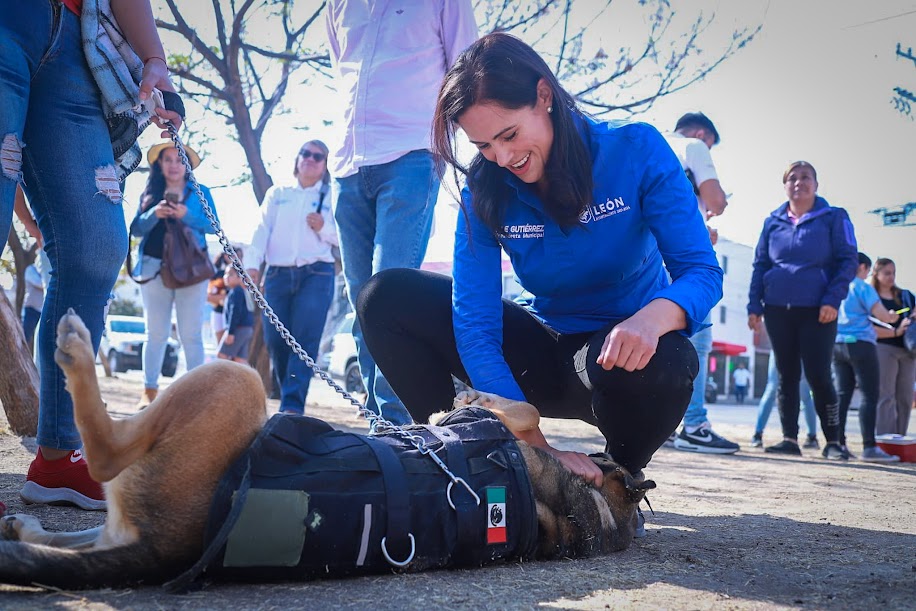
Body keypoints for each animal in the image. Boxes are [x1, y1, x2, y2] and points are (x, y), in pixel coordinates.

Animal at [0, 314, 660, 592]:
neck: (592, 513)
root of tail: (164, 552)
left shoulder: (509, 424)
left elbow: (522, 410)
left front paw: (473, 394)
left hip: (236, 380)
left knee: (105, 452)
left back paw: (75, 349)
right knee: (69, 541)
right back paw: (24, 529)